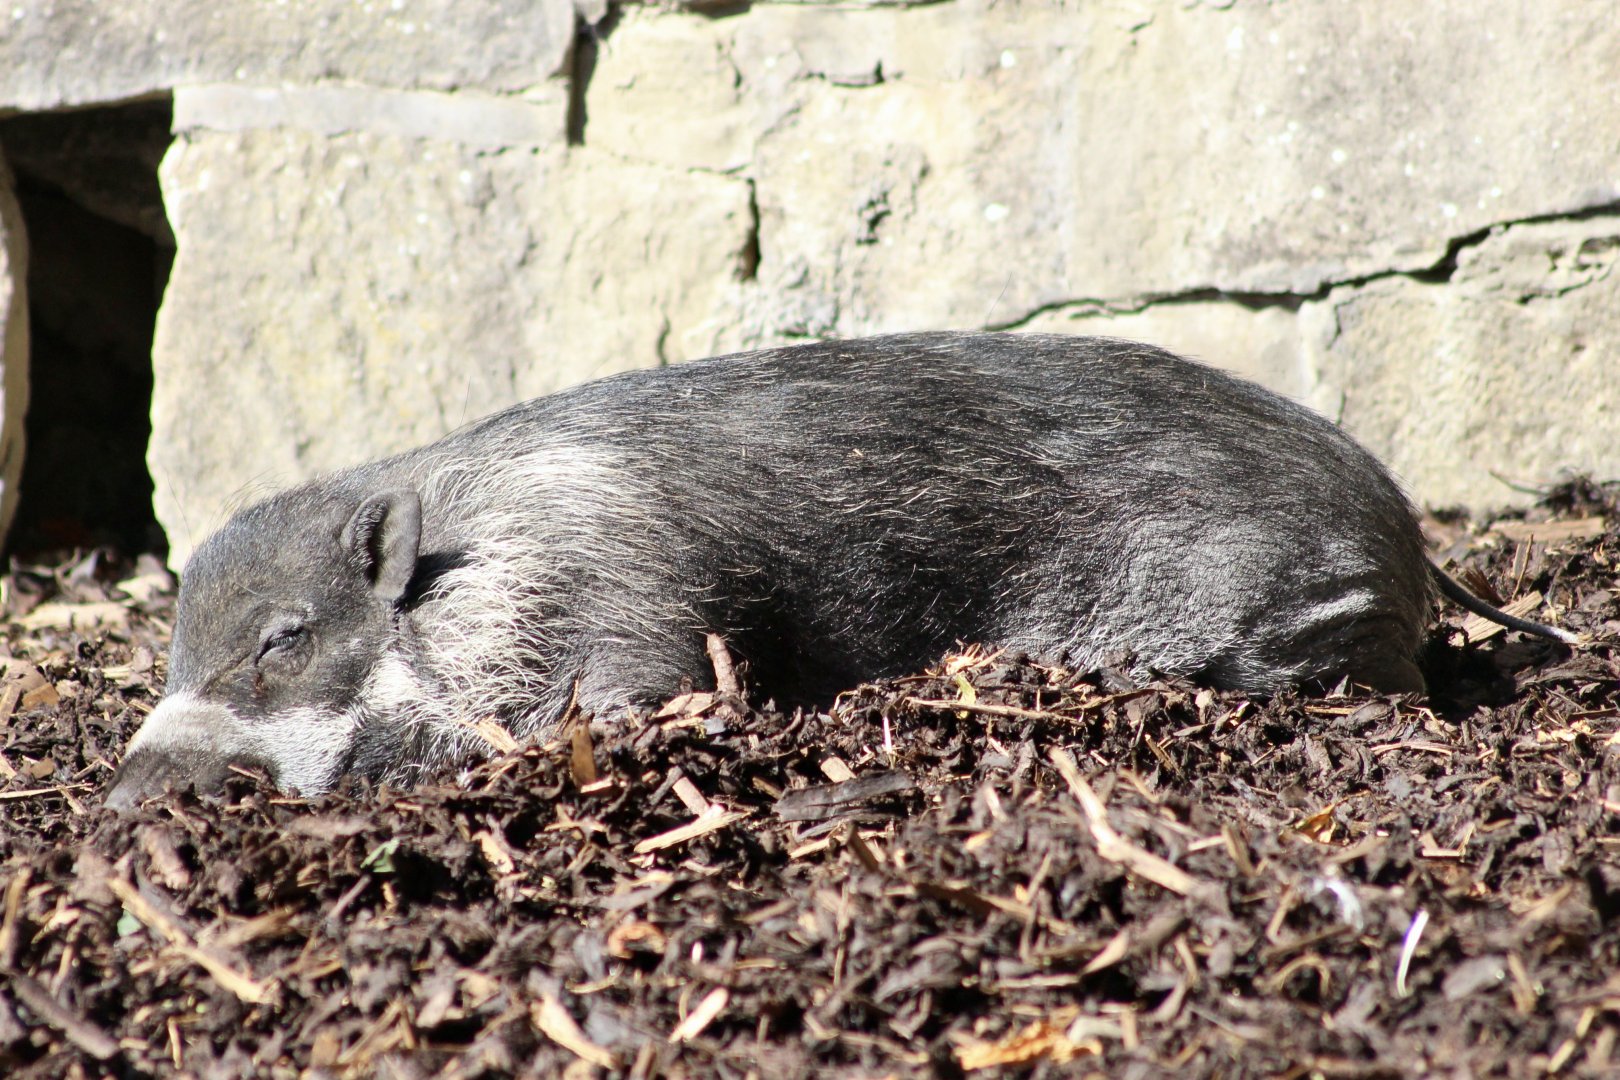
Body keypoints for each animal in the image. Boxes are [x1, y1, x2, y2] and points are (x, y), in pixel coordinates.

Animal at [104, 331, 1577, 808]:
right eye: (178, 647)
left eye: (285, 639)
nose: (124, 793)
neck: (481, 573)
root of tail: (1403, 527)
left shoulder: (629, 627)